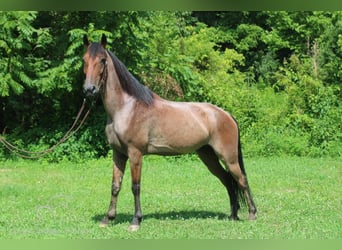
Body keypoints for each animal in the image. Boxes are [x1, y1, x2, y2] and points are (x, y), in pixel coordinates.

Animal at [82, 34, 256, 231]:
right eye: (84, 60)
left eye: (102, 60)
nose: (89, 90)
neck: (126, 108)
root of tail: (226, 114)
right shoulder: (118, 153)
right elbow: (115, 185)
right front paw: (108, 218)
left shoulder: (135, 154)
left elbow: (135, 186)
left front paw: (136, 221)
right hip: (208, 156)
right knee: (227, 180)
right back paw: (233, 215)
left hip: (229, 158)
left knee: (242, 180)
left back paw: (252, 214)